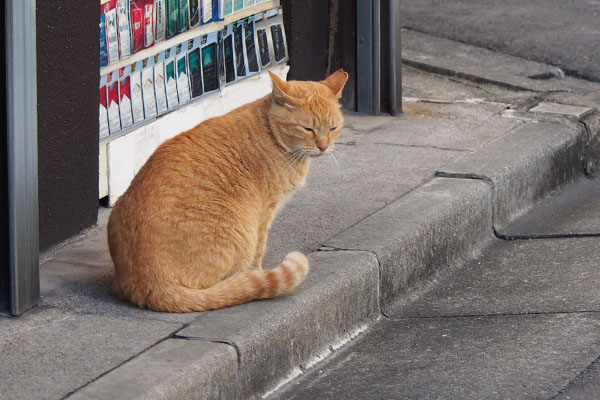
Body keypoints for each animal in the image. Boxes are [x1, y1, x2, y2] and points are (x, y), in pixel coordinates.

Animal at [108, 69, 346, 312]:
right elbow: (259, 252)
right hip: (242, 230)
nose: (323, 147)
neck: (271, 133)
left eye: (333, 128)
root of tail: (151, 285)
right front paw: (257, 273)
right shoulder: (264, 213)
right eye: (308, 129)